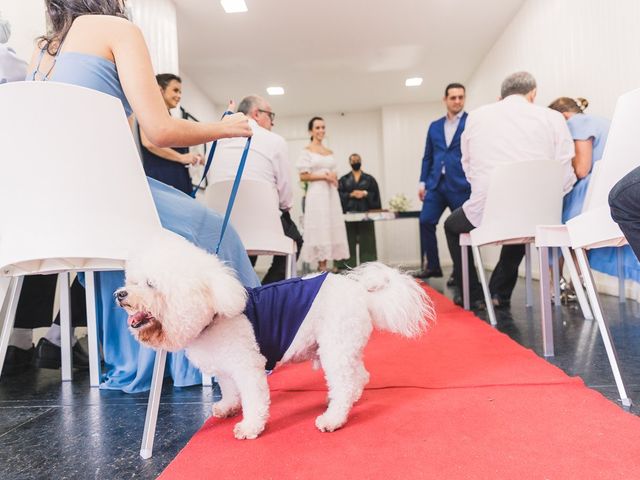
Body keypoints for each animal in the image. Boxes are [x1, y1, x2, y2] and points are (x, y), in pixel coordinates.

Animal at [116, 232, 436, 438]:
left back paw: (333, 418)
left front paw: (250, 427)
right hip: (343, 346)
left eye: (151, 284)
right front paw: (228, 407)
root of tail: (360, 293)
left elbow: (254, 401)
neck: (213, 310)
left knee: (344, 384)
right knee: (357, 376)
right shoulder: (226, 369)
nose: (120, 294)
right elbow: (230, 390)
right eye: (131, 281)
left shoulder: (248, 368)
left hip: (335, 348)